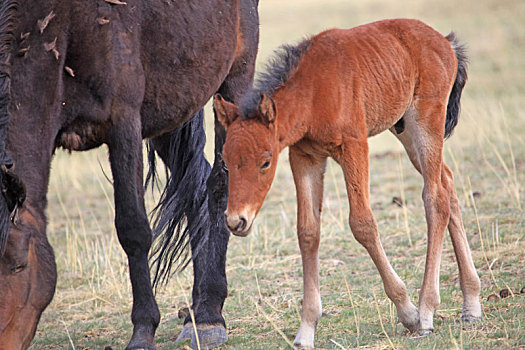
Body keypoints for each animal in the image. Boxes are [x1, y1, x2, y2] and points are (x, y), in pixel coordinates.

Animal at [0, 1, 258, 348]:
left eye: (19, 263)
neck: (61, 29)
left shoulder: (123, 124)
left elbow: (133, 230)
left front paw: (143, 329)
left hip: (233, 82)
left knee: (219, 185)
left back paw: (208, 316)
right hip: (170, 109)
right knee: (196, 189)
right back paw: (199, 308)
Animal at [212, 18, 478, 348]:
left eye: (265, 162)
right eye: (225, 161)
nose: (236, 221)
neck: (313, 92)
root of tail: (445, 41)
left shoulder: (354, 147)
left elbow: (362, 223)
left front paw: (408, 312)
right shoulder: (305, 157)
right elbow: (307, 231)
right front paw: (306, 330)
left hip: (426, 121)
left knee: (435, 197)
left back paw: (427, 310)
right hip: (403, 128)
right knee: (447, 182)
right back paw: (471, 303)